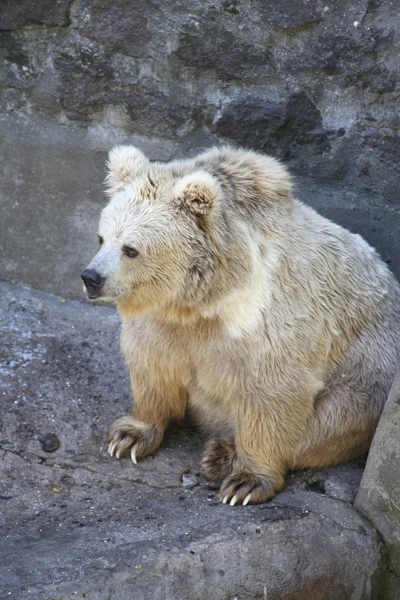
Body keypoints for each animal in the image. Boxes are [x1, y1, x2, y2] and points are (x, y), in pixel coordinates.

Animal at [81, 145, 400, 506]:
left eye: (131, 249)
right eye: (101, 238)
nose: (91, 277)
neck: (203, 301)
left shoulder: (266, 324)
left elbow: (272, 394)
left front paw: (246, 482)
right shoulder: (164, 323)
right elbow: (153, 365)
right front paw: (128, 436)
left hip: (366, 373)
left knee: (326, 426)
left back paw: (220, 455)